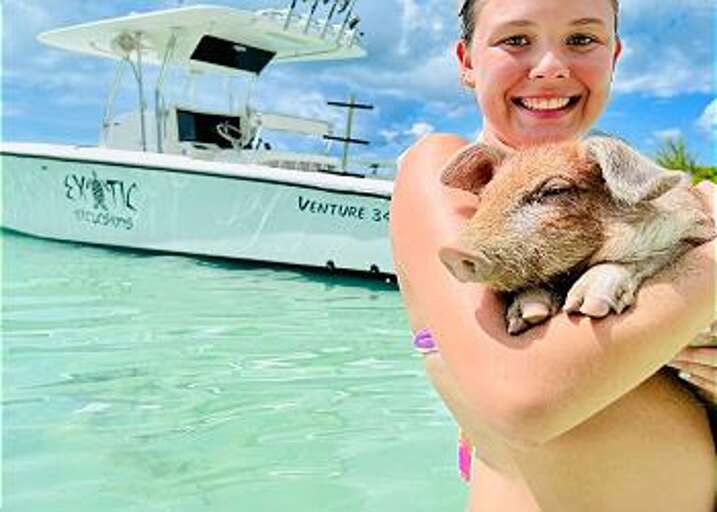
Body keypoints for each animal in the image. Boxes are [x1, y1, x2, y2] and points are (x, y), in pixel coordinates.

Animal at [437, 136, 716, 335]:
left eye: (554, 190)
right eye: (485, 197)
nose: (451, 252)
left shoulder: (696, 228)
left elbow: (646, 257)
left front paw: (585, 308)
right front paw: (526, 317)